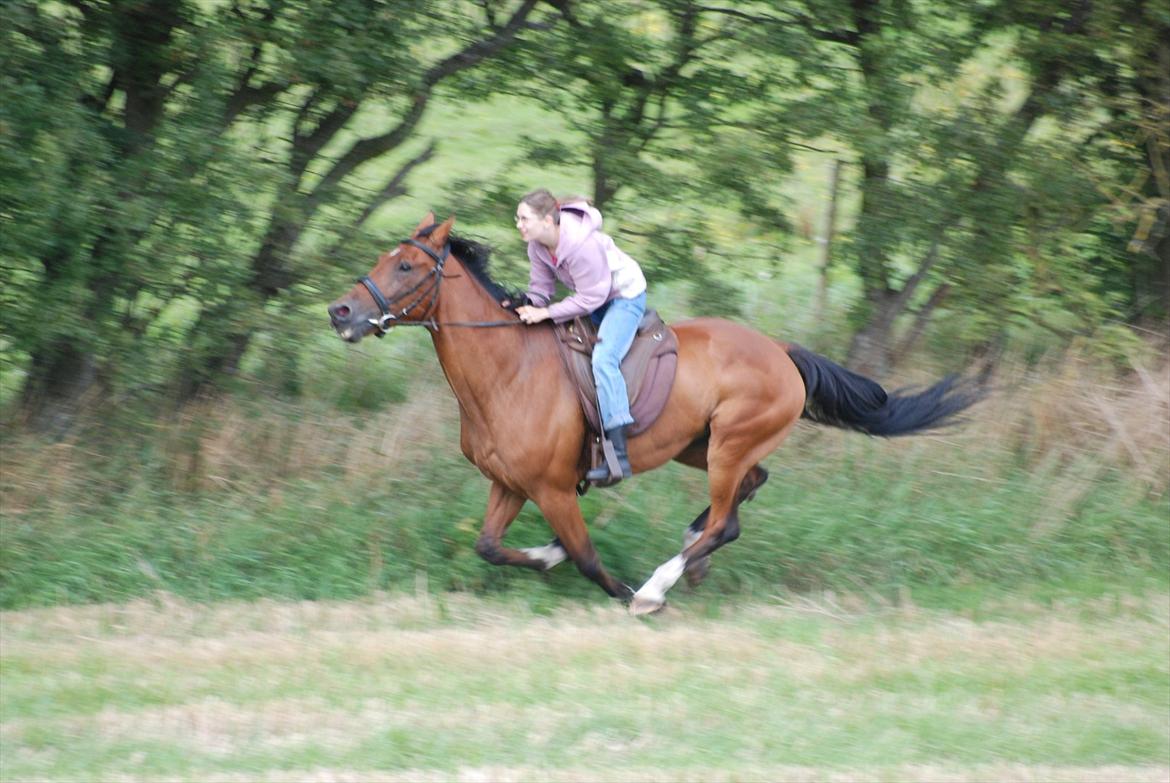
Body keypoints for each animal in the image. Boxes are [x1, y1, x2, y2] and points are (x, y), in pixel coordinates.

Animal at [325, 211, 982, 608]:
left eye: (405, 265)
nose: (340, 312)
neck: (507, 371)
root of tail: (782, 351)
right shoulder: (510, 483)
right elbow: (490, 546)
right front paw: (547, 555)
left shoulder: (552, 488)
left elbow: (587, 558)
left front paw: (624, 591)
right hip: (702, 444)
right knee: (747, 493)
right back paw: (691, 558)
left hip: (726, 445)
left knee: (725, 520)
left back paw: (659, 584)